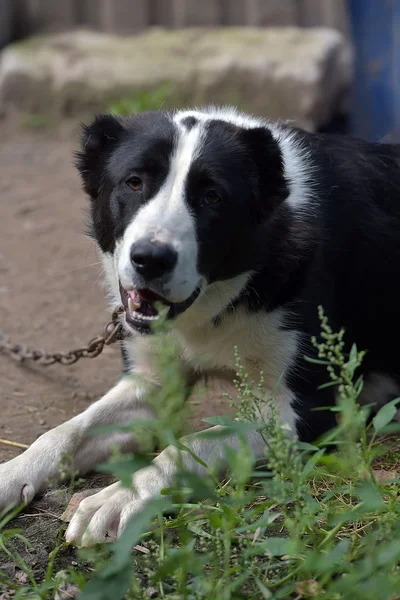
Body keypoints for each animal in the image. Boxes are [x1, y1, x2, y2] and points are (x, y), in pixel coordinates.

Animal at [0, 105, 400, 548]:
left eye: (212, 197)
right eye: (134, 182)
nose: (150, 259)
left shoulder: (302, 412)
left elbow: (189, 445)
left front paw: (121, 497)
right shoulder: (152, 388)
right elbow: (65, 432)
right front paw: (11, 474)